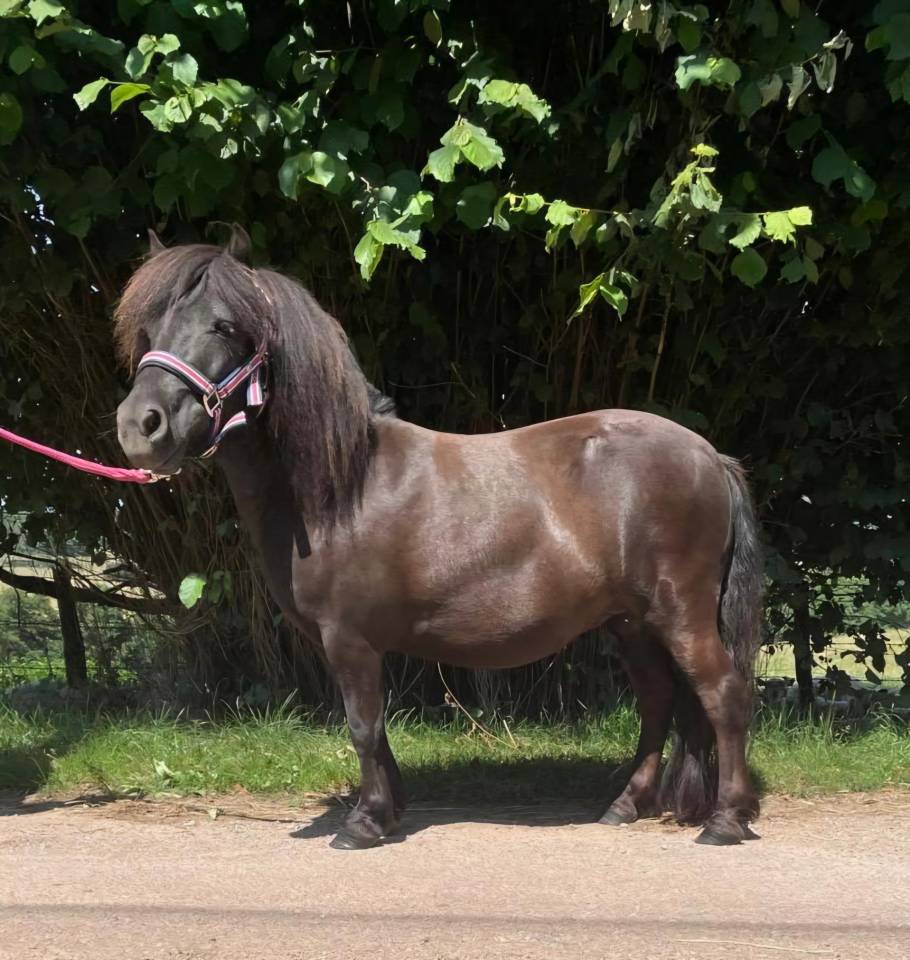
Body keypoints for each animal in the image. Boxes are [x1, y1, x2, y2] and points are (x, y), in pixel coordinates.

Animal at [115, 225, 764, 850]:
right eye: (149, 329)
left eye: (225, 326)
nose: (139, 426)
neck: (341, 486)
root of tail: (710, 456)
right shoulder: (345, 643)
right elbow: (374, 731)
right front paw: (388, 810)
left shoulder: (349, 638)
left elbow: (362, 725)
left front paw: (363, 824)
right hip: (630, 623)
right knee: (658, 701)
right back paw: (625, 806)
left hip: (680, 612)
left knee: (723, 693)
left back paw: (724, 821)